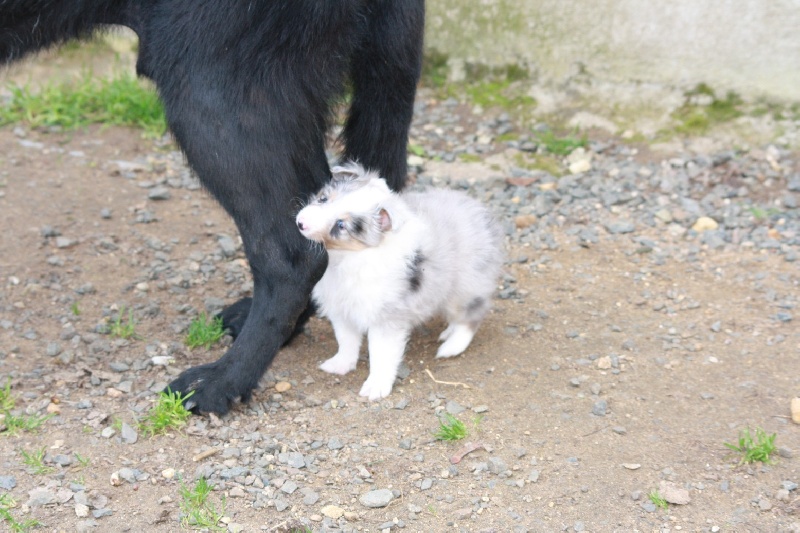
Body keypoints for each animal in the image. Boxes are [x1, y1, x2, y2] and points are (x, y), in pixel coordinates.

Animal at [296, 163, 504, 400]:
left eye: (341, 225)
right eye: (323, 199)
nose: (300, 223)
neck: (348, 257)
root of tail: (483, 215)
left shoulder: (385, 319)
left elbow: (381, 355)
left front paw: (375, 387)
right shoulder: (342, 309)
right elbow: (346, 340)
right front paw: (339, 365)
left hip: (465, 288)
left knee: (471, 317)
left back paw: (451, 347)